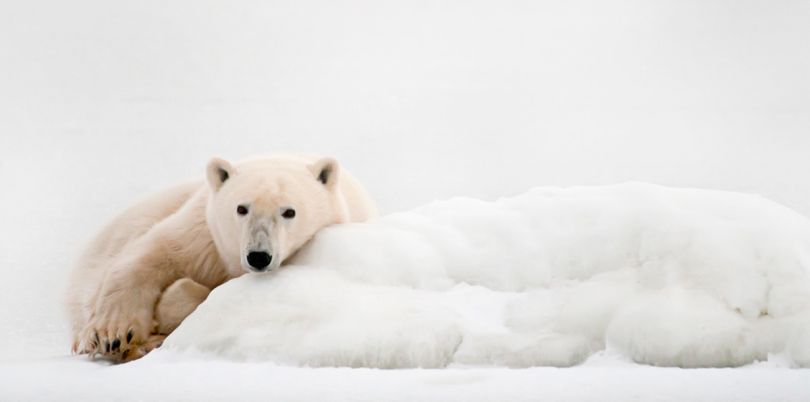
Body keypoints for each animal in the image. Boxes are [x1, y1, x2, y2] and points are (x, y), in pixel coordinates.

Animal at [66, 154, 376, 362]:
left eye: (289, 211)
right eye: (241, 208)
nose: (259, 256)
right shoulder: (203, 233)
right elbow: (150, 254)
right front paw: (114, 334)